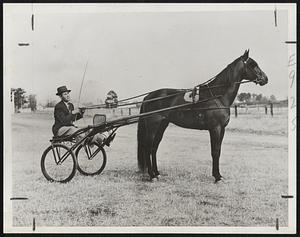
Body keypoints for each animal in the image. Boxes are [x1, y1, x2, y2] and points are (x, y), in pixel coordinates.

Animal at [137, 50, 268, 182]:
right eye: (253, 65)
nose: (265, 79)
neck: (217, 96)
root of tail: (148, 97)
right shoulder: (215, 128)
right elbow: (215, 151)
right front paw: (217, 177)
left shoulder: (222, 129)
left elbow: (219, 150)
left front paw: (218, 175)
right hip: (153, 125)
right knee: (148, 147)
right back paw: (152, 175)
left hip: (162, 125)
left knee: (154, 147)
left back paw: (157, 173)